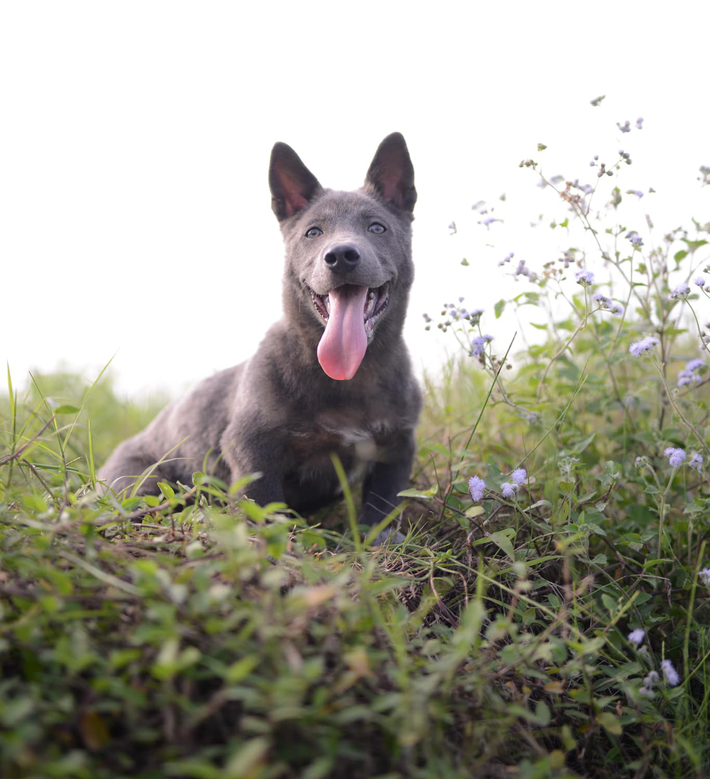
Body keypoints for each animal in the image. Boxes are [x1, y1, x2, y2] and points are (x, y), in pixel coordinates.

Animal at [99, 133, 422, 544]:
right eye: (313, 232)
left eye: (377, 228)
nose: (341, 255)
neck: (350, 377)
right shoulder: (254, 450)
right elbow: (265, 508)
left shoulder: (396, 448)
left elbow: (382, 508)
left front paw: (379, 543)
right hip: (140, 485)